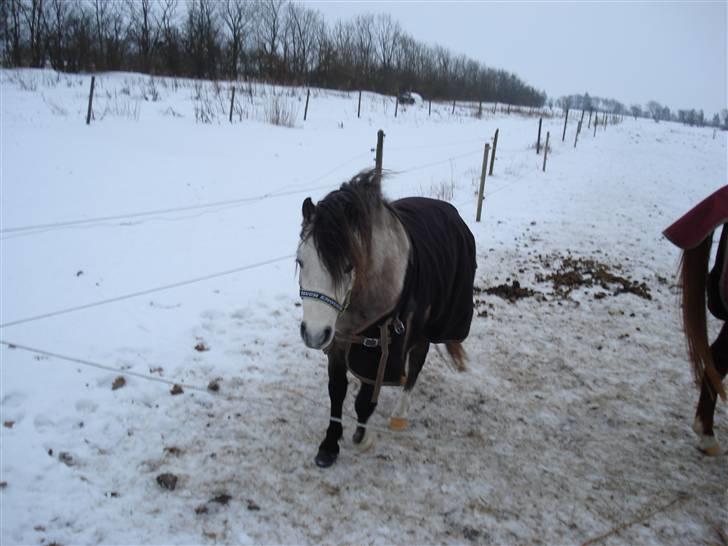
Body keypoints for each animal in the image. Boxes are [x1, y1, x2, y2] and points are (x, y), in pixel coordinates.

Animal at [296, 169, 476, 467]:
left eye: (349, 266)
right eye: (300, 261)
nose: (313, 334)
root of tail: (448, 209)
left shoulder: (380, 346)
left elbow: (364, 400)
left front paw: (362, 437)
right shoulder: (340, 341)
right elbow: (337, 391)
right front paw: (329, 445)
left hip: (425, 329)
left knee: (416, 365)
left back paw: (399, 414)